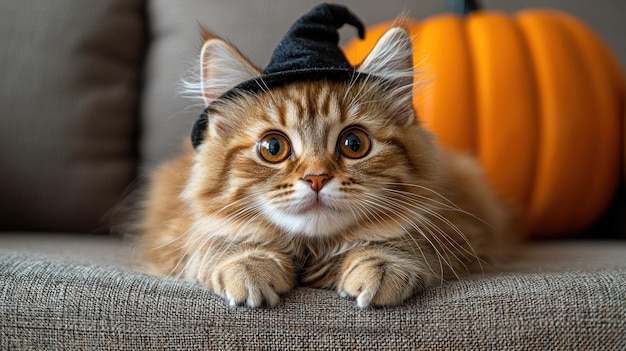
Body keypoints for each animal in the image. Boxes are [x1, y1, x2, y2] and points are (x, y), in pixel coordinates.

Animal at [140, 4, 512, 308]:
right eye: (273, 148)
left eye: (354, 144)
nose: (316, 178)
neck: (312, 251)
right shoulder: (175, 233)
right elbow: (219, 241)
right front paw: (247, 265)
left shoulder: (459, 230)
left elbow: (404, 239)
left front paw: (382, 265)